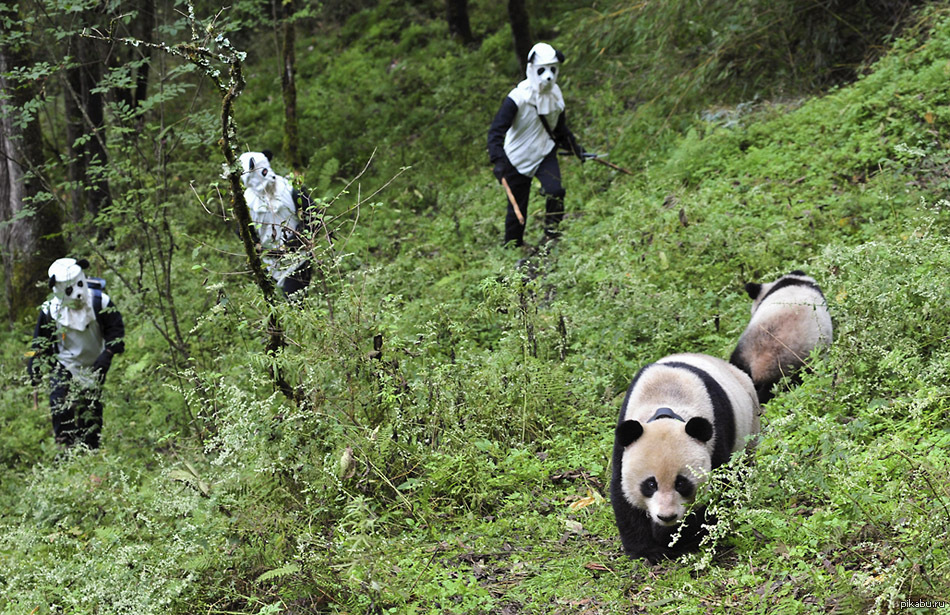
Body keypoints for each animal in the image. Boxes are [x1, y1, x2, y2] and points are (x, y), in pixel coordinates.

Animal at [612, 352, 764, 564]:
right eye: (650, 484)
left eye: (681, 483)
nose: (666, 516)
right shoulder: (625, 443)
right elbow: (623, 497)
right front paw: (648, 550)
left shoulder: (716, 437)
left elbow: (714, 496)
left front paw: (671, 537)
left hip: (750, 427)